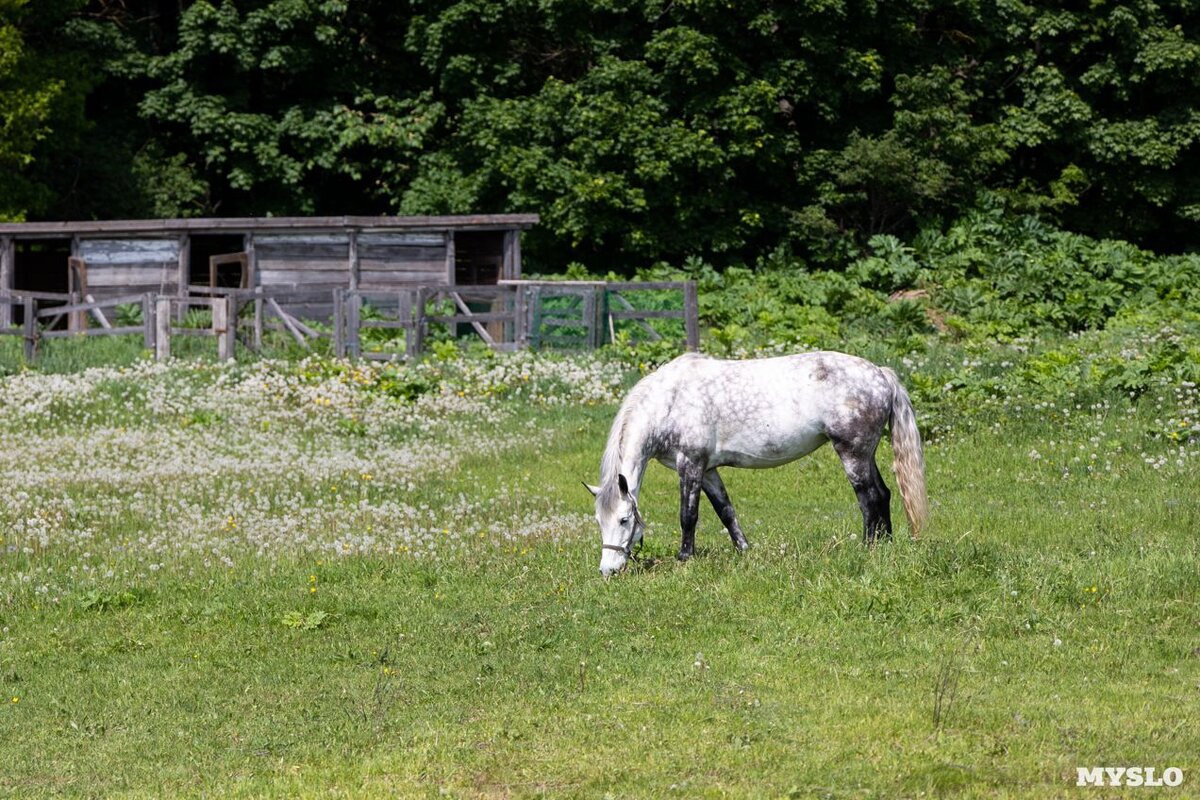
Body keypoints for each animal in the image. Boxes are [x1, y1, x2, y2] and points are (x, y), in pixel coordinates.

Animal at [585, 350, 931, 575]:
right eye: (600, 521)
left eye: (624, 520)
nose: (608, 570)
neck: (668, 402)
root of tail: (882, 374)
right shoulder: (708, 470)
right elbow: (726, 512)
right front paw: (744, 551)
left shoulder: (691, 464)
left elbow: (688, 516)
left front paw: (685, 559)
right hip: (866, 454)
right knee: (883, 495)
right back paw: (885, 547)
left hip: (853, 454)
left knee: (869, 499)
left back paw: (868, 549)